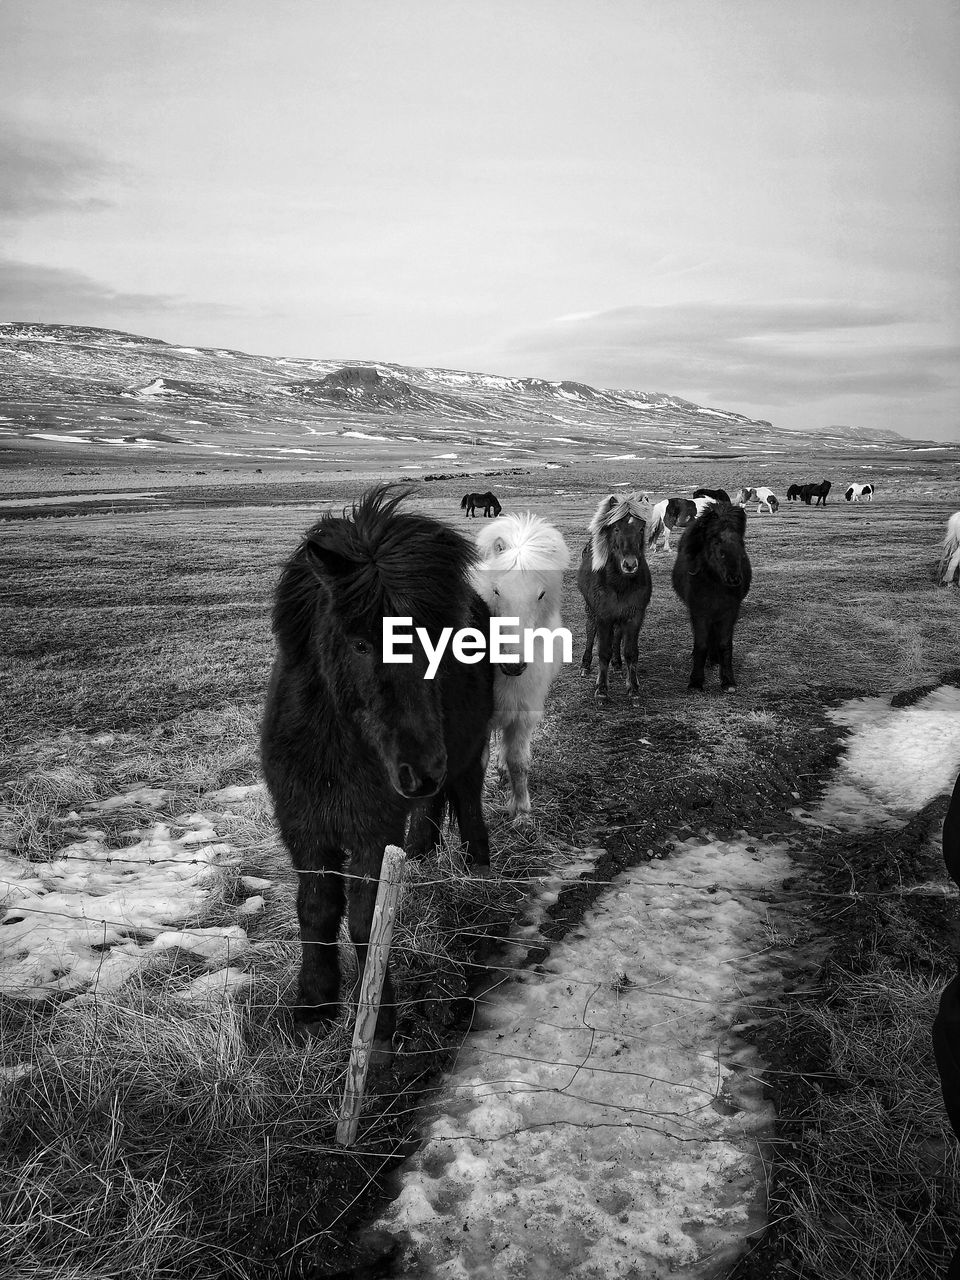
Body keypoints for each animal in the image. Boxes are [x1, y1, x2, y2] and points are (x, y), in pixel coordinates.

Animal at [259, 483, 491, 1054]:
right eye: (361, 642)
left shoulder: (371, 832)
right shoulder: (305, 827)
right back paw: (425, 854)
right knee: (432, 809)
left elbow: (367, 920)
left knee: (467, 799)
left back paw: (479, 869)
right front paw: (314, 1005)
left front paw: (377, 1019)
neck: (336, 750)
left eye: (443, 639)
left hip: (468, 753)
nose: (421, 768)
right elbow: (316, 909)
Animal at [473, 509, 570, 819]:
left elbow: (518, 761)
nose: (513, 666)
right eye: (496, 591)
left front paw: (521, 811)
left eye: (540, 594)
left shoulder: (524, 714)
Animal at [578, 494, 655, 706]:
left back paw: (617, 664)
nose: (630, 565)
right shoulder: (604, 616)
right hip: (591, 610)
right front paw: (602, 691)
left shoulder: (635, 616)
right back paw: (585, 665)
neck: (620, 584)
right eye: (616, 528)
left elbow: (631, 652)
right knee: (590, 631)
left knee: (617, 636)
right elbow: (603, 651)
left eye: (641, 528)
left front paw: (633, 689)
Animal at [670, 501, 757, 701]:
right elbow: (701, 645)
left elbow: (725, 645)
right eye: (716, 542)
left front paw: (728, 681)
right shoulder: (700, 613)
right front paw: (696, 682)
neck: (715, 584)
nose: (734, 579)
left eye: (740, 543)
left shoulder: (728, 613)